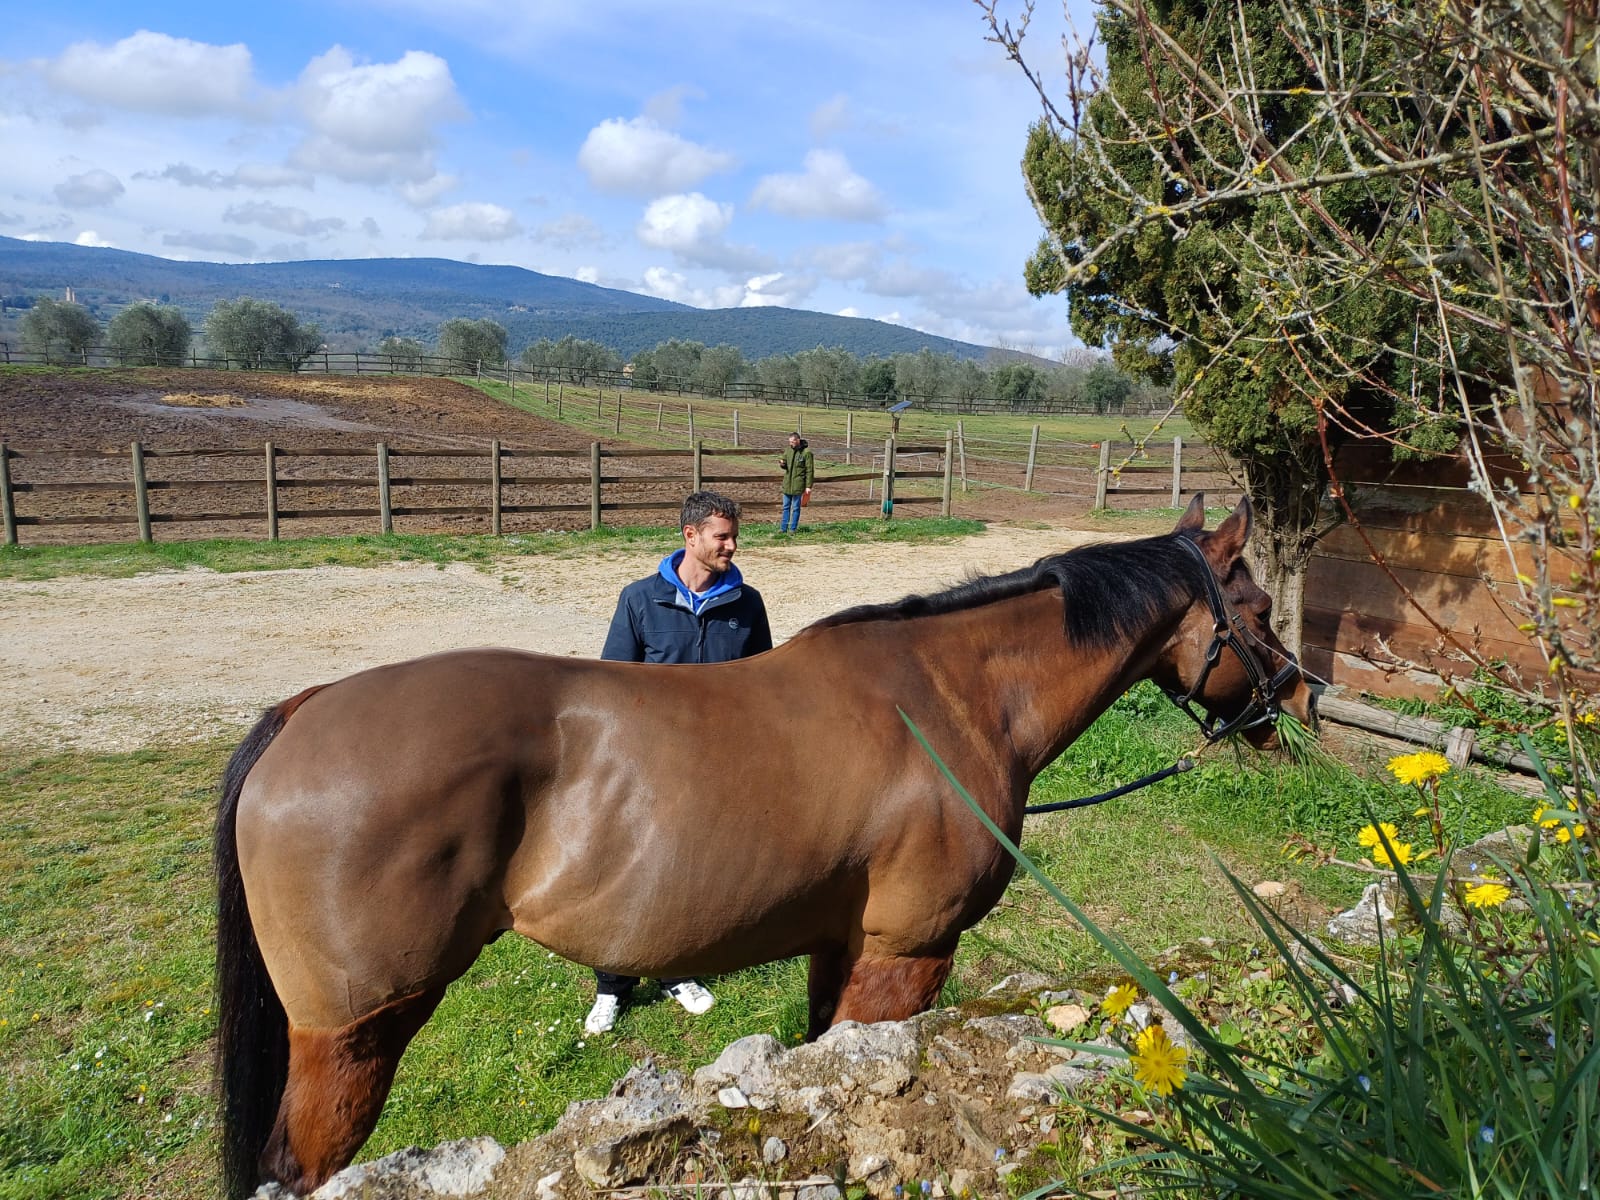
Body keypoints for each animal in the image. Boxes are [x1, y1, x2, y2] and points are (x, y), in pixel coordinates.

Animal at [214, 494, 1313, 1197]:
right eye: (1259, 610)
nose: (1296, 700)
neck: (951, 699)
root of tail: (308, 709)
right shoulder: (907, 956)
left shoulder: (842, 949)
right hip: (353, 1037)